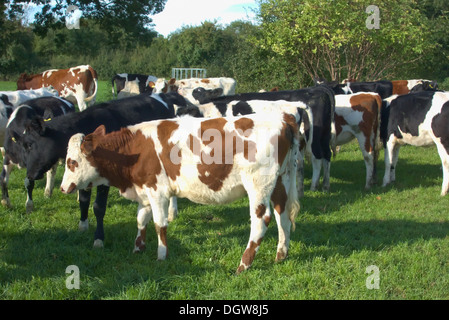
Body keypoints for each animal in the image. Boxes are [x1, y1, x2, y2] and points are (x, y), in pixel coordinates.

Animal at [13, 92, 186, 248]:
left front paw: (98, 238)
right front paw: (83, 225)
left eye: (29, 145)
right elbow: (83, 201)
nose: (30, 174)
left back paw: (172, 212)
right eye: (21, 145)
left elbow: (98, 207)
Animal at [58, 111, 298, 274]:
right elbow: (141, 220)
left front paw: (161, 256)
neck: (134, 150)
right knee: (282, 215)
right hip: (281, 180)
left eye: (72, 162)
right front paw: (138, 248)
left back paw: (243, 264)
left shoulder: (157, 191)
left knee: (261, 220)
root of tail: (283, 120)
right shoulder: (144, 191)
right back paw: (281, 254)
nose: (62, 187)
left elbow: (159, 224)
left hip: (258, 184)